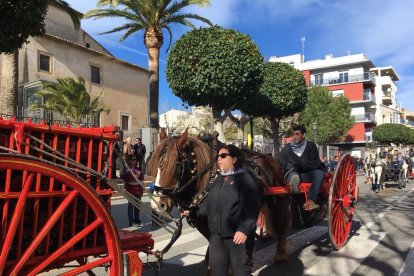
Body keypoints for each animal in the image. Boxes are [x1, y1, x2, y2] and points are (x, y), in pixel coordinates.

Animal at [147, 129, 292, 266]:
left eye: (176, 166)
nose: (157, 204)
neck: (209, 180)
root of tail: (270, 158)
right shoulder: (205, 226)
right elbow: (211, 256)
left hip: (278, 201)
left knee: (280, 224)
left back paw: (280, 254)